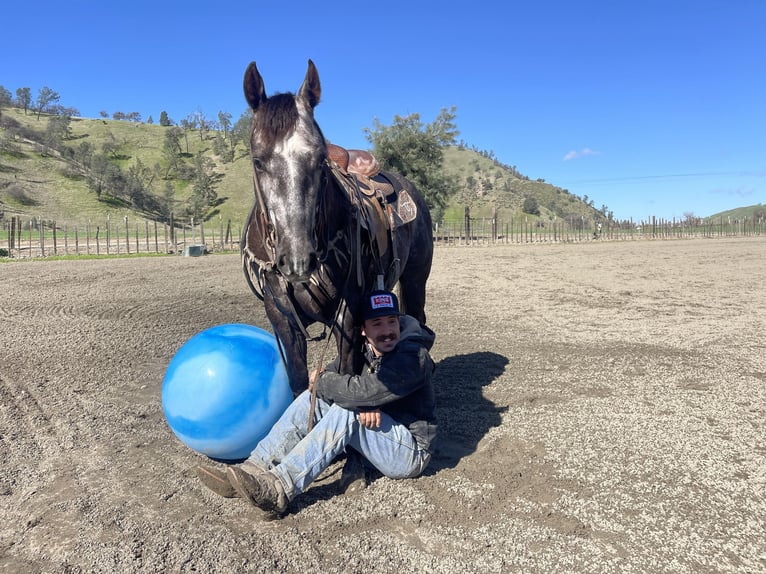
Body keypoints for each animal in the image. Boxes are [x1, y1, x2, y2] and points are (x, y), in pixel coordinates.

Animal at [242, 62, 432, 396]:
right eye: (258, 160)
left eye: (320, 160)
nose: (297, 260)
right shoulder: (282, 319)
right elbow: (298, 383)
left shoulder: (349, 314)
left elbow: (345, 374)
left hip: (415, 278)